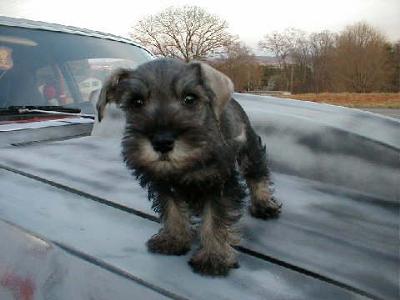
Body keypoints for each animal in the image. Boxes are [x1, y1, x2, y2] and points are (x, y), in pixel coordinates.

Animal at [97, 58, 282, 276]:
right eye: (137, 102)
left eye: (189, 99)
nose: (162, 142)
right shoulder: (163, 184)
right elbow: (173, 211)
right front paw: (174, 239)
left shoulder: (220, 184)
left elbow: (215, 220)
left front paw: (214, 257)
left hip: (249, 150)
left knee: (257, 175)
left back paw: (264, 204)